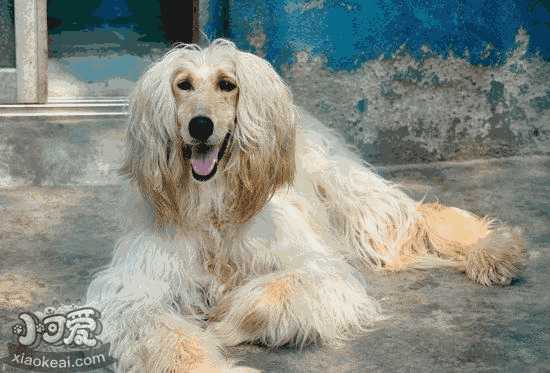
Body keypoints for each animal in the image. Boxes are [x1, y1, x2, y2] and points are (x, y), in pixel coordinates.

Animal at [86, 39, 528, 370]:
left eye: (227, 84)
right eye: (183, 84)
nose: (200, 126)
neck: (214, 207)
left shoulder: (312, 264)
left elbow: (278, 292)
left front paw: (226, 318)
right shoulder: (139, 283)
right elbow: (157, 327)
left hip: (347, 194)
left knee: (411, 218)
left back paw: (494, 250)